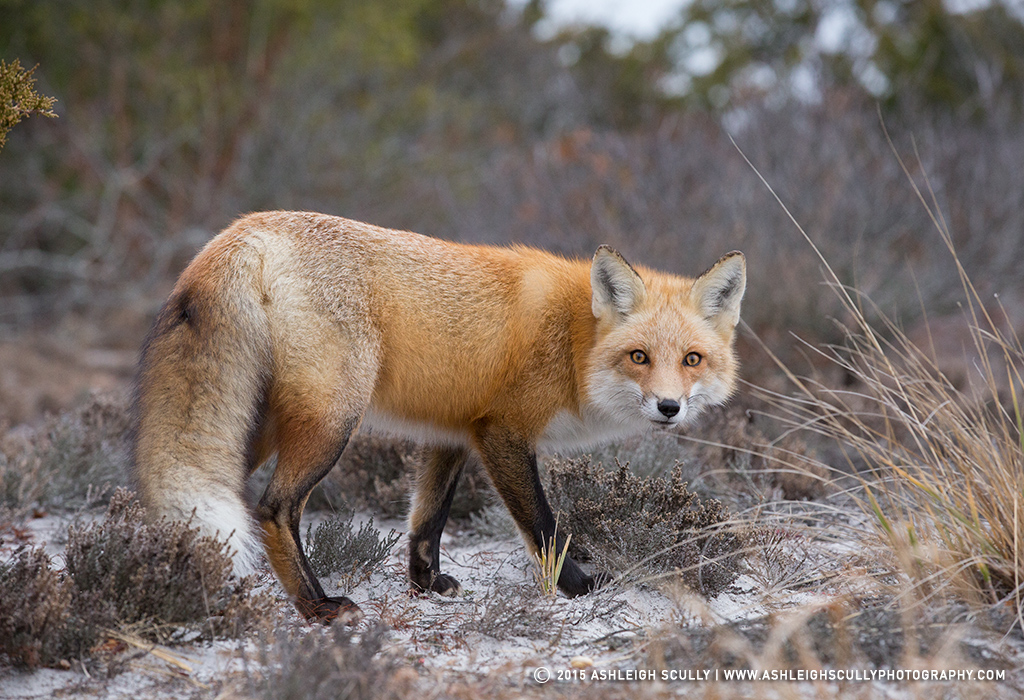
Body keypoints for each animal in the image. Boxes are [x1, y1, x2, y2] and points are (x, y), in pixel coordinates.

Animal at [131, 211, 746, 623]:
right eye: (639, 357)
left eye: (692, 360)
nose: (669, 407)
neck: (572, 339)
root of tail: (244, 229)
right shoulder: (503, 433)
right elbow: (544, 527)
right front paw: (578, 585)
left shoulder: (453, 432)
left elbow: (427, 520)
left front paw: (425, 585)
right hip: (332, 419)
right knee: (273, 508)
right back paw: (317, 605)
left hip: (253, 428)